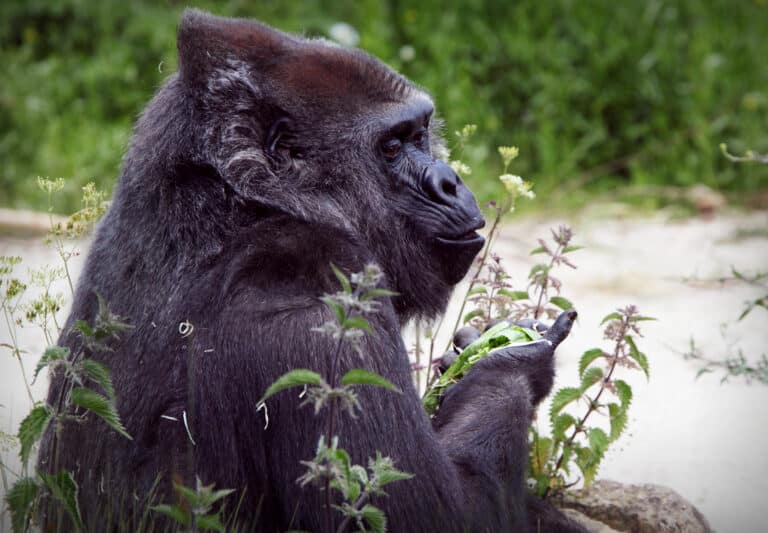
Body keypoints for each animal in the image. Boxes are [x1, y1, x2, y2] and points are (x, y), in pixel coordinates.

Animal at [38, 10, 588, 532]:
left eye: (421, 133)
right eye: (392, 147)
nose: (449, 183)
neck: (244, 203)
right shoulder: (325, 298)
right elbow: (432, 515)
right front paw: (509, 362)